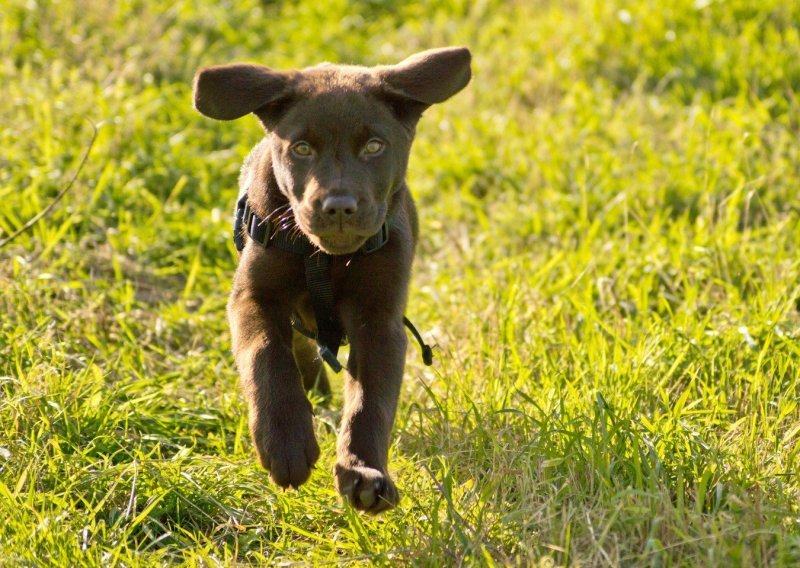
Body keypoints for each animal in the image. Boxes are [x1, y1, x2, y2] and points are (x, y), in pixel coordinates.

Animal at [191, 46, 472, 512]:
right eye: (302, 148)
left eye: (375, 146)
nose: (339, 206)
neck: (326, 260)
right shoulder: (254, 296)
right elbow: (267, 357)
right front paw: (286, 442)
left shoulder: (379, 319)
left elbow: (370, 401)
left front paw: (365, 473)